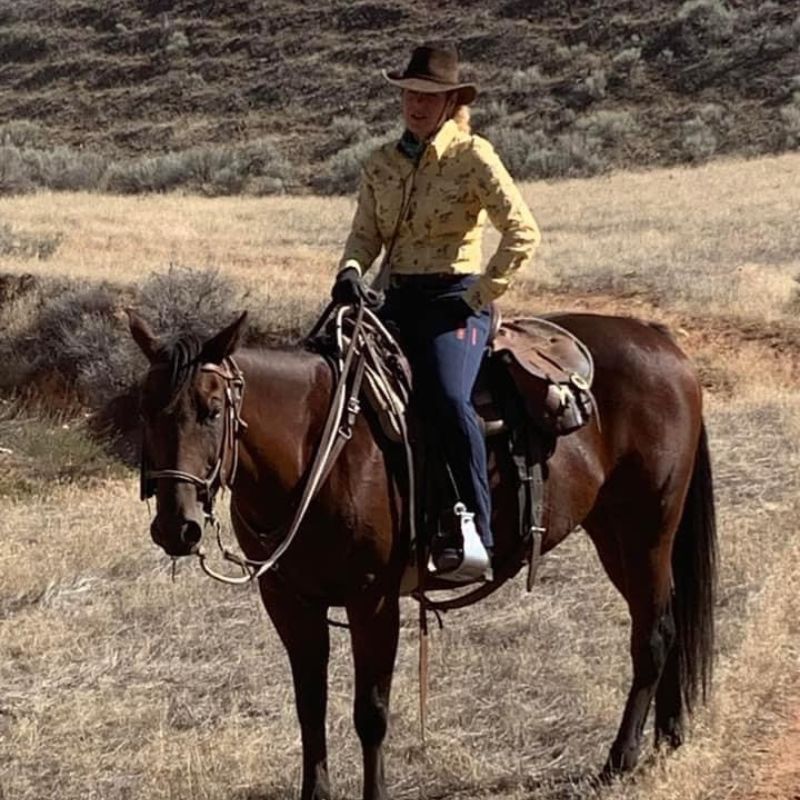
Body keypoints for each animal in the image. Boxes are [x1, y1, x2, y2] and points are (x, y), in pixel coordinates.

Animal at [128, 306, 716, 800]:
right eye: (145, 412)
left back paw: (620, 759)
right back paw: (669, 736)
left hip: (646, 529)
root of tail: (661, 341)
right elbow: (309, 704)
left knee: (653, 634)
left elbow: (371, 711)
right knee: (666, 620)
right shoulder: (289, 602)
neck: (319, 452)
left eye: (210, 411)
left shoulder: (373, 602)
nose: (176, 527)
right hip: (613, 532)